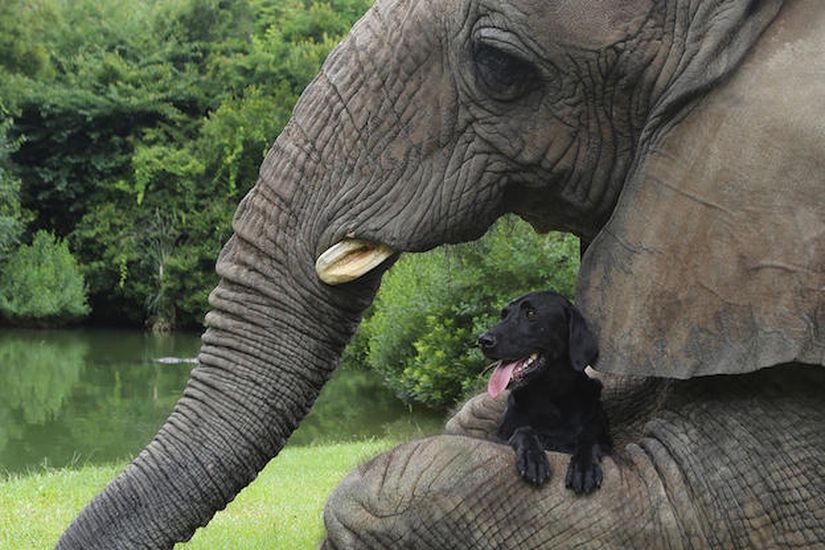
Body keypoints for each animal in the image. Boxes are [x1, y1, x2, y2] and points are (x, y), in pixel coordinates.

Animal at [476, 294, 612, 496]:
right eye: (503, 315)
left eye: (531, 314)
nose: (483, 340)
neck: (550, 398)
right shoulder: (500, 438)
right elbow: (523, 430)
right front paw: (533, 458)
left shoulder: (605, 443)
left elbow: (588, 437)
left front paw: (584, 467)